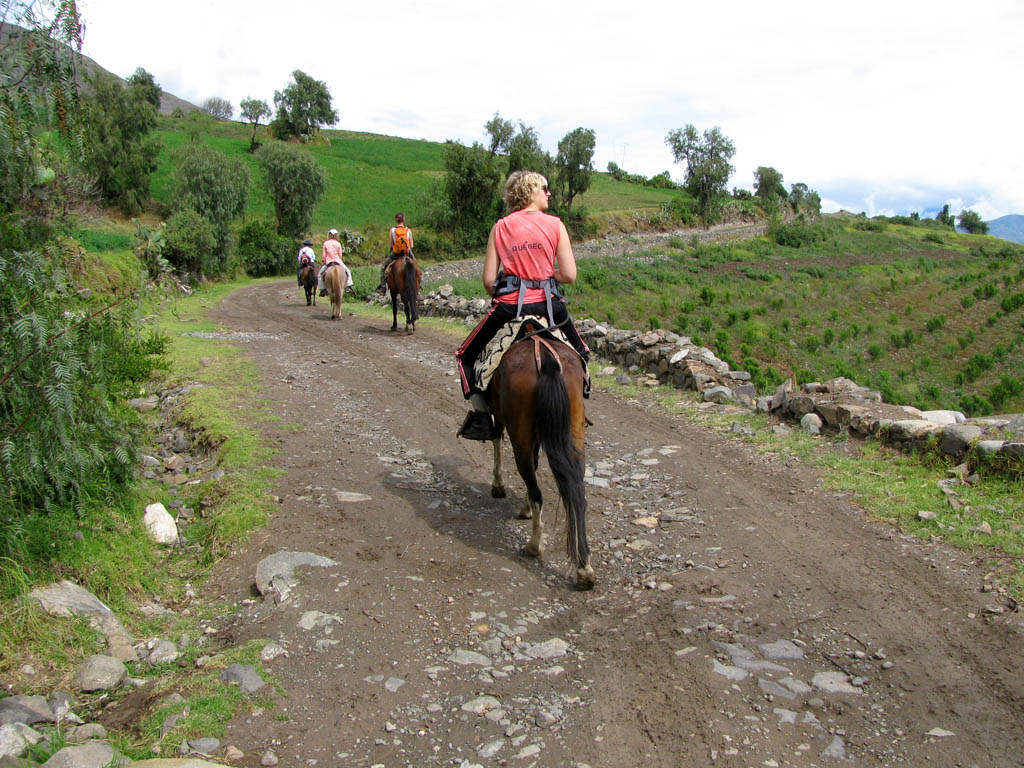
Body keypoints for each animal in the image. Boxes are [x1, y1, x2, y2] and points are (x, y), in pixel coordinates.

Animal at [485, 329, 593, 589]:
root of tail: (546, 361)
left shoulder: (498, 414)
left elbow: (496, 442)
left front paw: (498, 486)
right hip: (574, 433)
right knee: (577, 492)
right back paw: (584, 568)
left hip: (520, 437)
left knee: (536, 491)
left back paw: (534, 546)